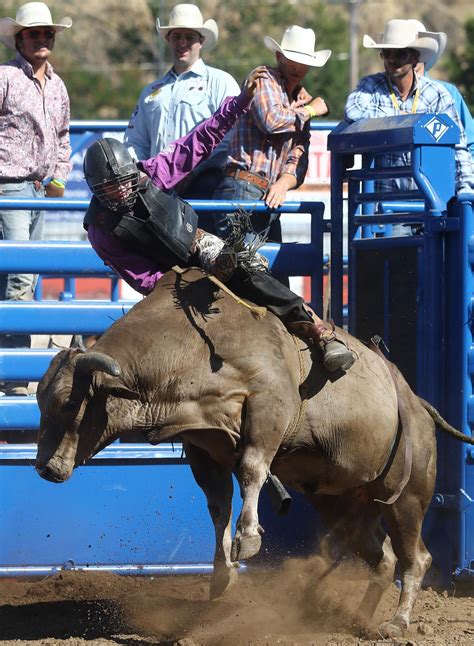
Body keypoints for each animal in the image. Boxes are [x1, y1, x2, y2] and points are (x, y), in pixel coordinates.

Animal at [36, 268, 474, 636]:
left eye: (67, 405)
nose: (45, 468)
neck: (197, 346)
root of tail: (418, 405)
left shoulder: (268, 406)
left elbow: (252, 469)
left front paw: (247, 539)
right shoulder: (203, 445)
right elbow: (218, 504)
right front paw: (222, 574)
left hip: (408, 496)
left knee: (416, 558)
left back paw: (397, 623)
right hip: (342, 502)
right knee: (382, 557)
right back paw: (357, 618)